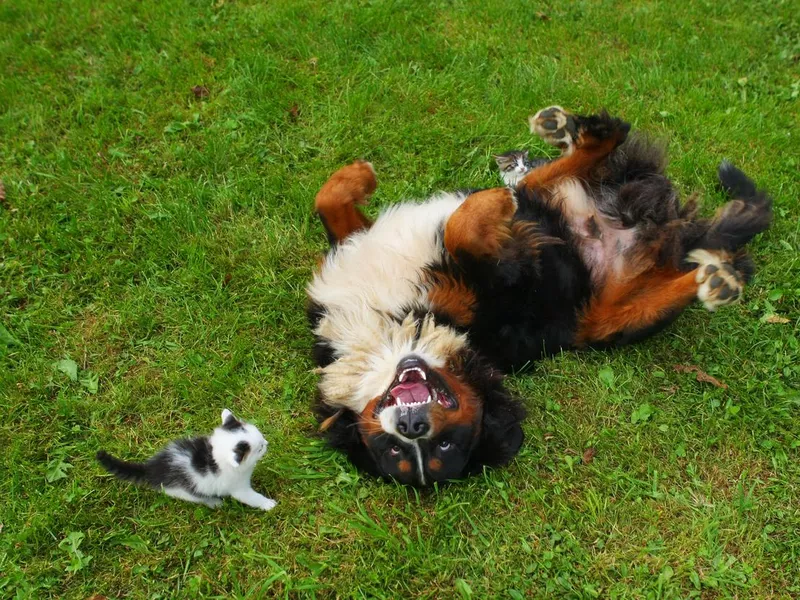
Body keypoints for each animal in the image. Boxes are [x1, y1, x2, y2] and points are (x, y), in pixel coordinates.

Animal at [96, 408, 276, 510]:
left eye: (262, 437)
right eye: (260, 448)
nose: (267, 443)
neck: (214, 455)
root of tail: (152, 469)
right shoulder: (238, 487)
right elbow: (251, 498)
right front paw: (268, 504)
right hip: (183, 491)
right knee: (198, 497)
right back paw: (214, 502)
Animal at [304, 105, 768, 486]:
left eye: (444, 445)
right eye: (397, 452)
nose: (413, 425)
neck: (395, 327)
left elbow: (333, 197)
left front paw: (361, 175)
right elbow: (453, 228)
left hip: (555, 199)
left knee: (557, 170)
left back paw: (568, 133)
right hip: (609, 322)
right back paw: (718, 278)